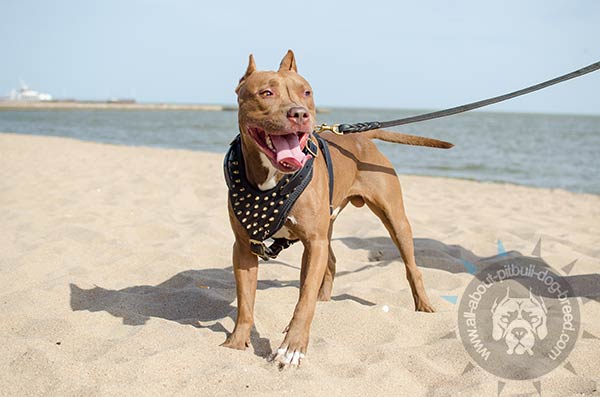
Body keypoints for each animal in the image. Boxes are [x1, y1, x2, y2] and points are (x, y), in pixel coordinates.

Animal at [223, 51, 452, 366]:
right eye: (266, 93)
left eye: (306, 92)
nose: (299, 114)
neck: (272, 180)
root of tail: (362, 137)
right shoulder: (245, 247)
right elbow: (246, 302)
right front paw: (236, 343)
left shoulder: (313, 242)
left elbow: (303, 300)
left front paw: (293, 346)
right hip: (328, 227)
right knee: (330, 262)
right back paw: (324, 299)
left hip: (395, 219)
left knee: (411, 267)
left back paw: (424, 306)